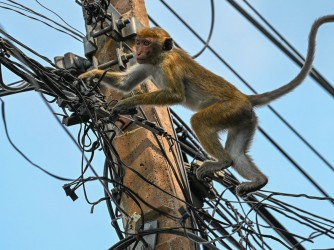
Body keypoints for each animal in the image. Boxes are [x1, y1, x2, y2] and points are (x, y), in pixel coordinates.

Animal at [80, 14, 334, 196]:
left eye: (145, 43)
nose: (138, 50)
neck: (160, 57)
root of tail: (245, 97)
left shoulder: (169, 65)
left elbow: (175, 95)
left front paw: (126, 103)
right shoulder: (146, 64)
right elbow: (125, 83)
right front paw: (89, 75)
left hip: (230, 110)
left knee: (200, 122)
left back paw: (222, 161)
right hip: (244, 119)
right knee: (237, 152)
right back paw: (258, 181)